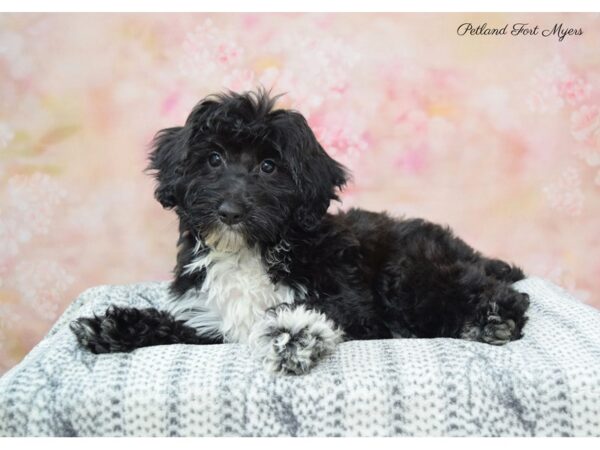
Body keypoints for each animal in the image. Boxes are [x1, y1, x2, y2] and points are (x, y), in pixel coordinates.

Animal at [71, 89, 528, 374]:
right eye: (213, 159)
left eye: (269, 167)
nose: (230, 211)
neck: (251, 251)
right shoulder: (209, 321)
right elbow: (181, 325)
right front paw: (115, 327)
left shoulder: (353, 306)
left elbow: (306, 311)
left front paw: (294, 334)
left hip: (410, 274)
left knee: (503, 294)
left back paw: (492, 320)